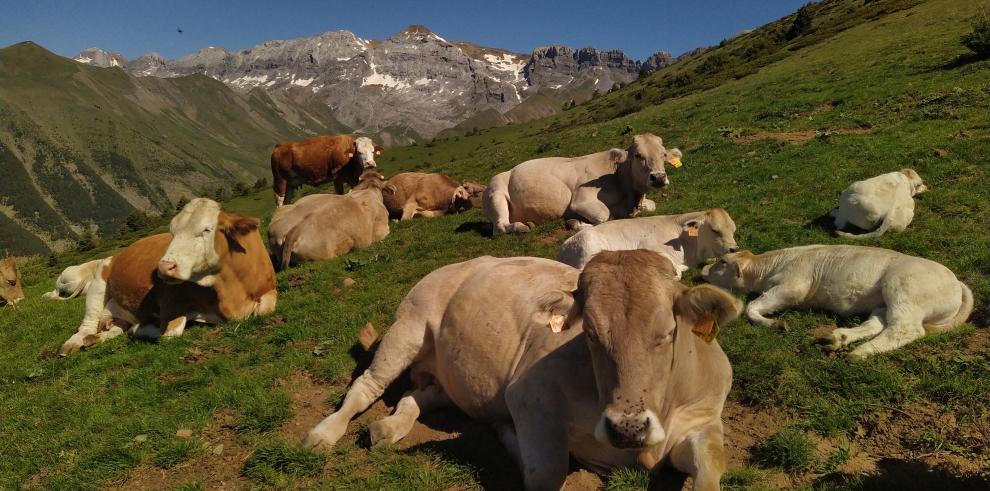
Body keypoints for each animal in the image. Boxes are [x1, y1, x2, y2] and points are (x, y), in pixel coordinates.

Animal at [58, 200, 280, 358]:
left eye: (207, 229)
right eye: (172, 233)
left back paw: (96, 338)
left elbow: (265, 310)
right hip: (99, 281)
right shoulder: (168, 304)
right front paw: (143, 328)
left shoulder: (268, 288)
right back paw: (73, 343)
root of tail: (118, 253)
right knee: (87, 323)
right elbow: (170, 334)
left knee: (116, 328)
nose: (163, 267)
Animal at [306, 252, 740, 490]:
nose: (627, 428)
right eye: (591, 334)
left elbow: (712, 469)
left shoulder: (703, 418)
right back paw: (323, 434)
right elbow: (544, 472)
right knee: (366, 386)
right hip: (407, 327)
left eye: (668, 332)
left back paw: (389, 427)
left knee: (418, 396)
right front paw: (505, 432)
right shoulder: (530, 397)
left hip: (452, 376)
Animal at [484, 134, 684, 235]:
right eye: (638, 155)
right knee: (500, 227)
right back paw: (521, 227)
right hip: (496, 194)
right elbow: (606, 217)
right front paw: (575, 223)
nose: (659, 177)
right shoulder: (582, 199)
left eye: (663, 154)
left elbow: (651, 206)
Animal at [704, 245, 976, 358]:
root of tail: (955, 280)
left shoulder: (794, 286)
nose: (702, 269)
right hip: (883, 302)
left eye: (722, 262)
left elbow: (751, 307)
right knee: (877, 323)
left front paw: (777, 324)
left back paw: (860, 352)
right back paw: (837, 338)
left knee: (905, 329)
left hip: (902, 289)